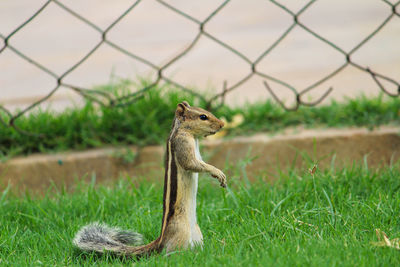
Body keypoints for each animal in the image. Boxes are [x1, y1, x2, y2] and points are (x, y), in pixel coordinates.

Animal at [73, 100, 227, 258]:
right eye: (203, 116)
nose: (222, 124)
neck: (184, 131)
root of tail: (161, 240)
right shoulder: (182, 143)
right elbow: (191, 164)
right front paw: (217, 171)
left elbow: (200, 163)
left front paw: (218, 175)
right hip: (181, 231)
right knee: (170, 254)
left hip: (197, 232)